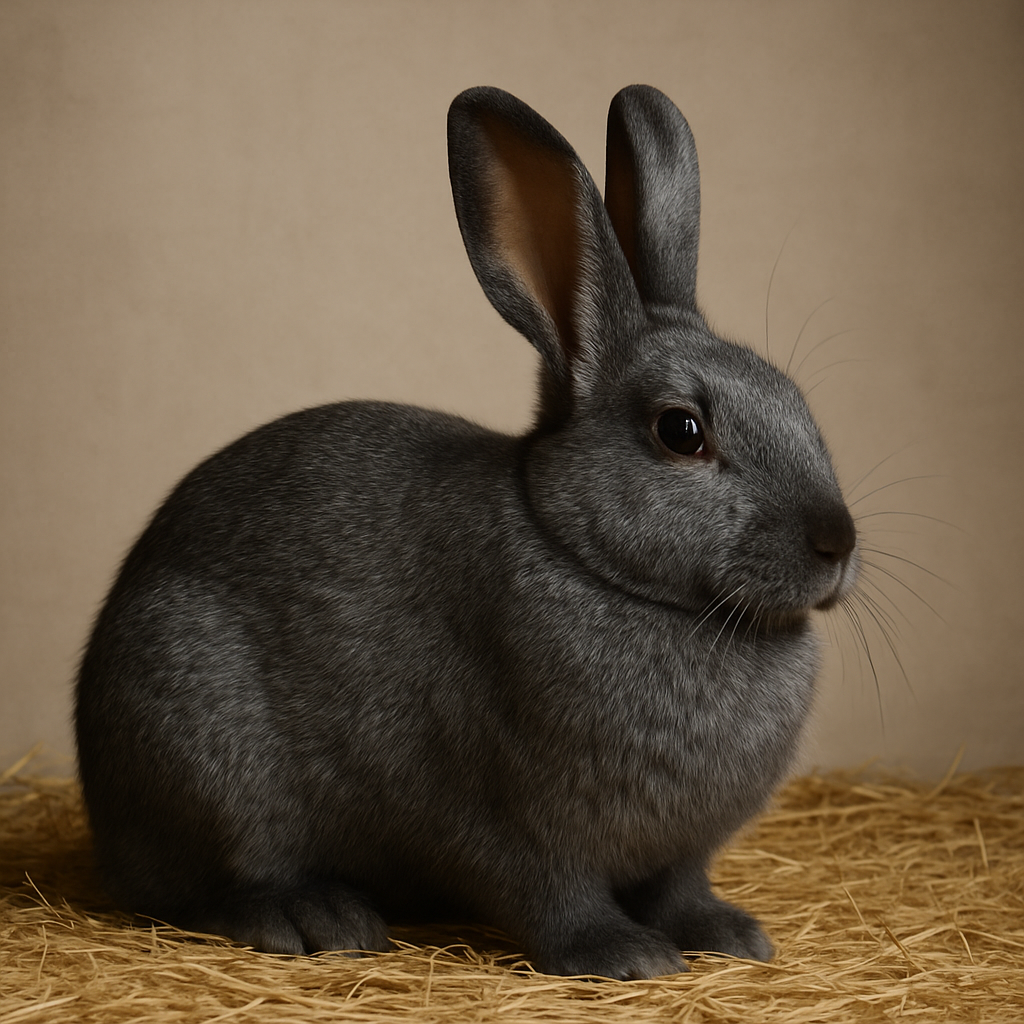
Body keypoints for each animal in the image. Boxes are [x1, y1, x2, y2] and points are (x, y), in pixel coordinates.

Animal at [74, 85, 858, 981]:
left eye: (793, 397)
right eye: (681, 431)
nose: (836, 542)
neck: (587, 558)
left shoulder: (680, 851)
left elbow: (680, 889)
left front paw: (730, 936)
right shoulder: (504, 815)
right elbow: (550, 892)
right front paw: (626, 956)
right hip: (196, 734)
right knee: (204, 888)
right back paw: (313, 917)